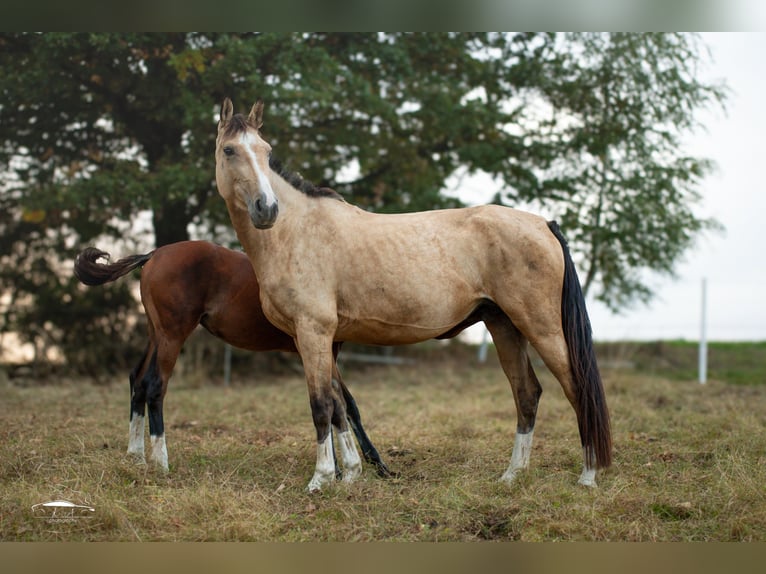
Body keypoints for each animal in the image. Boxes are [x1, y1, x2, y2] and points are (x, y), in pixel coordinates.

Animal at [74, 241, 392, 477]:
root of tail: (153, 255)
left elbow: (345, 403)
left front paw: (374, 466)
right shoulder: (317, 350)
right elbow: (336, 402)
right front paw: (341, 469)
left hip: (156, 334)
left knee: (137, 380)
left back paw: (136, 456)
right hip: (172, 337)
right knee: (154, 385)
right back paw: (161, 462)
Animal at [214, 98, 612, 492]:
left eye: (266, 152)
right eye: (229, 150)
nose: (267, 209)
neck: (296, 232)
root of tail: (543, 224)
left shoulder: (314, 332)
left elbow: (322, 406)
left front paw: (321, 479)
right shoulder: (312, 338)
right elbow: (341, 405)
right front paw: (350, 475)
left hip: (541, 327)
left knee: (577, 389)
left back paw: (588, 476)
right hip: (504, 326)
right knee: (527, 394)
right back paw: (512, 475)